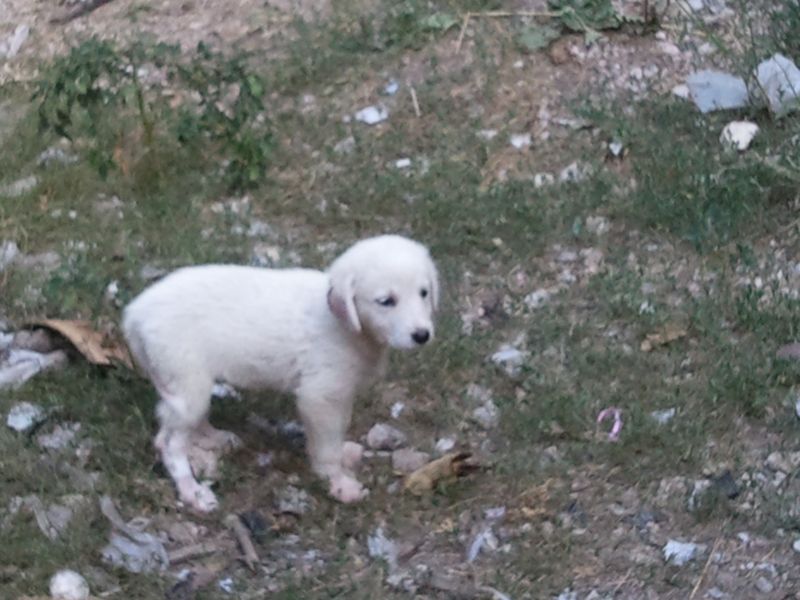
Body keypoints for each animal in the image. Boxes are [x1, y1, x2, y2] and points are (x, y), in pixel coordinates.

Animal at [122, 234, 440, 510]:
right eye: (386, 301)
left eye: (424, 293)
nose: (422, 335)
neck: (345, 325)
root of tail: (135, 314)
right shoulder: (320, 396)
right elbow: (327, 447)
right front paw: (337, 482)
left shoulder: (342, 392)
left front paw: (345, 455)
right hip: (185, 378)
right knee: (168, 443)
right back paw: (191, 490)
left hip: (185, 383)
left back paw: (213, 437)